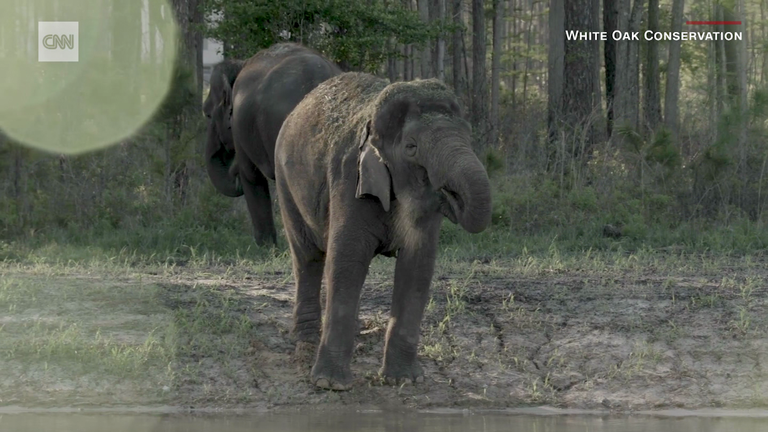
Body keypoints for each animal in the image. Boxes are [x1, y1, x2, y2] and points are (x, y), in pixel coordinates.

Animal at [274, 72, 492, 390]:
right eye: (411, 147)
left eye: (469, 138)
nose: (450, 194)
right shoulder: (349, 177)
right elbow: (347, 262)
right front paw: (331, 384)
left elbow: (417, 268)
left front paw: (405, 380)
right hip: (285, 184)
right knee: (307, 258)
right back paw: (306, 341)